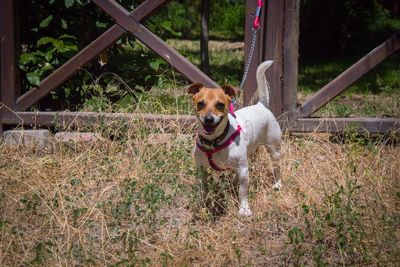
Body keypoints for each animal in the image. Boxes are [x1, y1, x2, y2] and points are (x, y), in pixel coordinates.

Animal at [188, 61, 282, 218]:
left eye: (220, 104)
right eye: (201, 103)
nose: (208, 119)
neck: (214, 142)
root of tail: (261, 105)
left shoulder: (243, 169)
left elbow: (243, 192)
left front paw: (244, 209)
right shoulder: (201, 169)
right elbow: (203, 189)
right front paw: (203, 205)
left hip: (274, 150)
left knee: (276, 168)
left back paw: (277, 184)